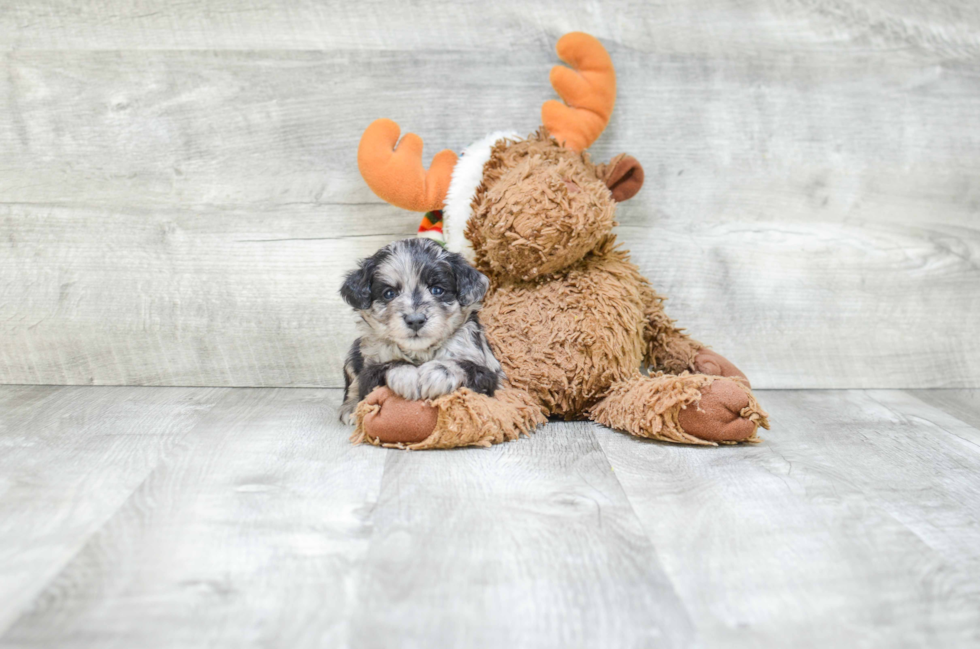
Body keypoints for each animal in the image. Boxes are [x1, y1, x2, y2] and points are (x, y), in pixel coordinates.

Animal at [338, 238, 506, 426]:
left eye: (437, 290)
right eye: (389, 293)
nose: (415, 320)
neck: (421, 352)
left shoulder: (489, 374)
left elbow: (462, 364)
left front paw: (437, 372)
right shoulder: (369, 369)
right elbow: (387, 365)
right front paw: (408, 375)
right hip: (353, 353)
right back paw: (351, 407)